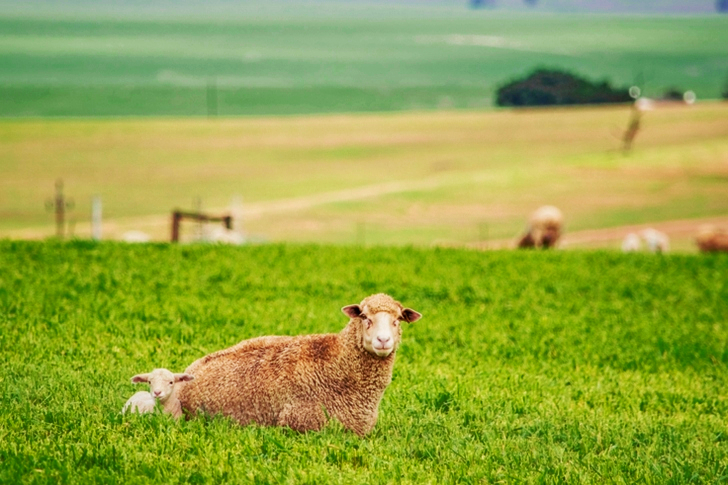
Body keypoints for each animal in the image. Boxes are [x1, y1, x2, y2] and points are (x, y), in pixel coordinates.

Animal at [176, 293, 422, 436]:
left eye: (398, 319)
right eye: (364, 317)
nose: (383, 340)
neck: (338, 364)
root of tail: (190, 369)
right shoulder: (300, 423)